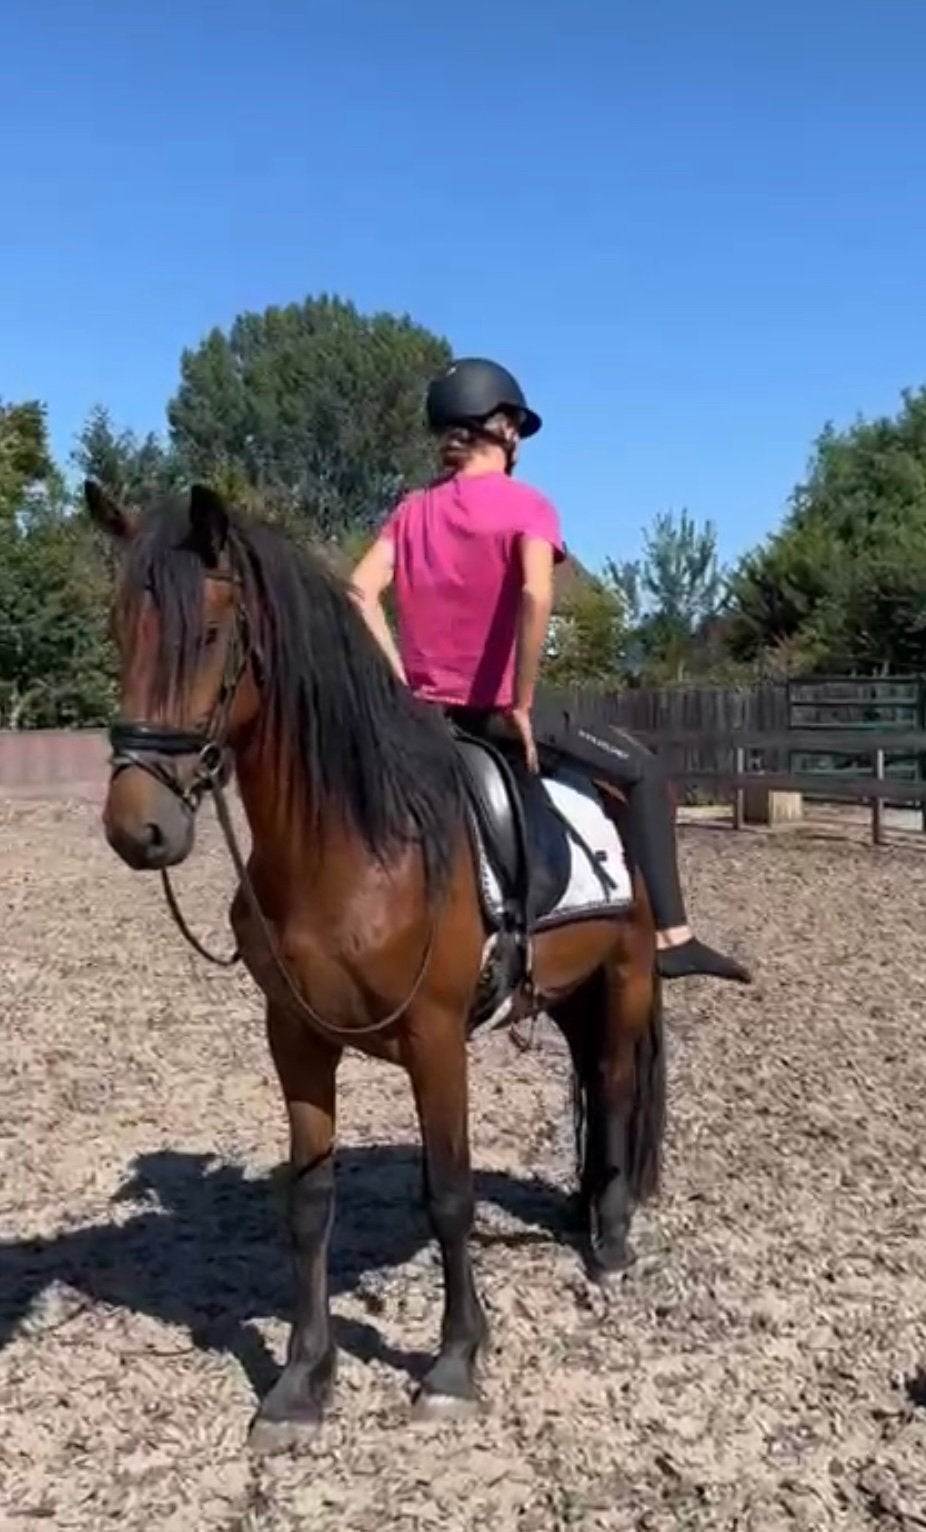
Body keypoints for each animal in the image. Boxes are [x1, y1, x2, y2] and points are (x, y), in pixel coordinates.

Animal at [83, 479, 666, 1451]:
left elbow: (450, 1195)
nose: (139, 828)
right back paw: (585, 1209)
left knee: (617, 1088)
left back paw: (612, 1238)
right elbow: (309, 1203)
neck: (357, 847)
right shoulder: (295, 1039)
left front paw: (456, 1363)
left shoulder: (436, 1041)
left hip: (624, 981)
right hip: (573, 992)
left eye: (212, 634)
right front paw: (301, 1380)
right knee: (593, 1082)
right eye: (120, 627)